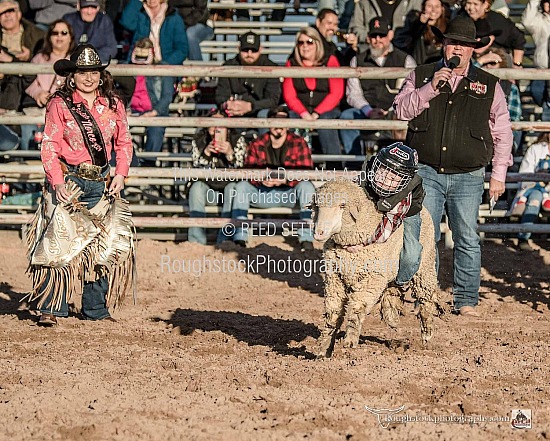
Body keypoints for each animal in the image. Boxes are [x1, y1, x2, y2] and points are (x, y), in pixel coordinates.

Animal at [312, 177, 446, 356]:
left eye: (342, 205)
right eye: (317, 206)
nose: (318, 232)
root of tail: (424, 209)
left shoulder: (372, 278)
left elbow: (358, 307)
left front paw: (350, 339)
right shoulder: (335, 278)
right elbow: (332, 314)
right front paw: (324, 347)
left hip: (424, 268)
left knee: (426, 301)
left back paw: (426, 334)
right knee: (393, 288)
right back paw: (391, 313)